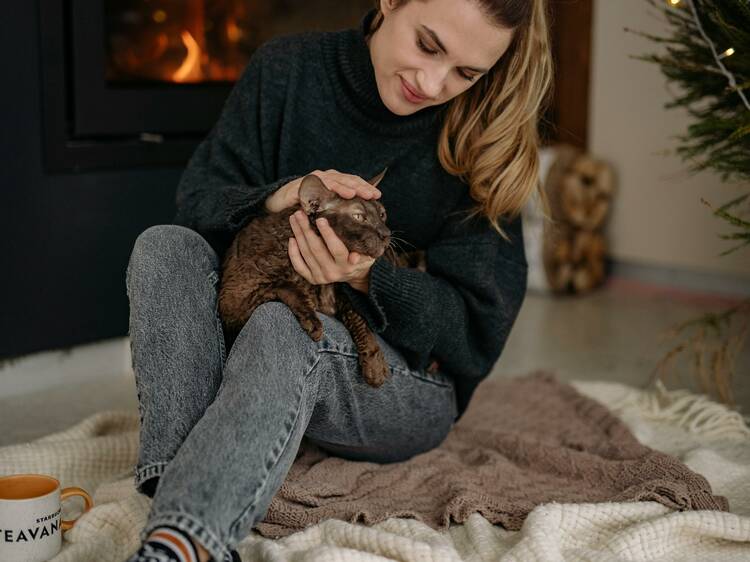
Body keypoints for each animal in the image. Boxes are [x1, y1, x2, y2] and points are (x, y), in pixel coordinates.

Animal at [220, 166, 426, 384]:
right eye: (359, 217)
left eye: (382, 214)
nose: (386, 234)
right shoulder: (233, 304)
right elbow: (284, 285)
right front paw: (312, 320)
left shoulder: (340, 291)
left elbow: (358, 317)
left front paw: (374, 363)